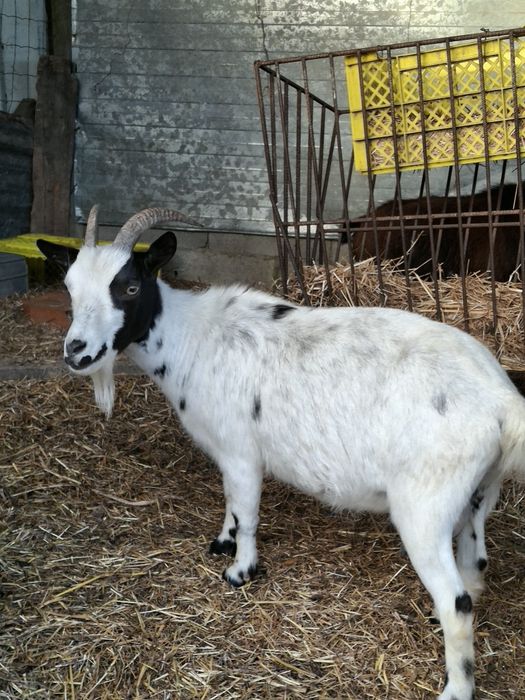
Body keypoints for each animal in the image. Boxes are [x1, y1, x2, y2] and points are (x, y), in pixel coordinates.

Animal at [37, 206, 525, 700]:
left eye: (130, 287)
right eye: (70, 287)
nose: (76, 352)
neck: (191, 337)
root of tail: (502, 403)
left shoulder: (241, 451)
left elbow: (248, 514)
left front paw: (240, 571)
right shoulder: (227, 454)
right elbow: (231, 504)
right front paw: (223, 541)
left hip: (424, 505)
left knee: (456, 602)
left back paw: (455, 687)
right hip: (477, 492)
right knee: (474, 565)